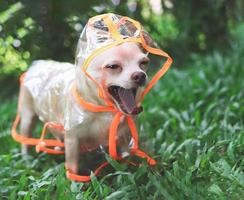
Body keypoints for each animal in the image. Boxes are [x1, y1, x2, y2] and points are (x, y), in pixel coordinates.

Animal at [19, 42, 149, 173]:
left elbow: (126, 157)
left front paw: (128, 169)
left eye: (144, 63)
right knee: (25, 139)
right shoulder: (72, 140)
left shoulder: (124, 135)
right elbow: (72, 168)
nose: (140, 75)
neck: (103, 110)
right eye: (113, 66)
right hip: (27, 118)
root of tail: (35, 66)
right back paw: (26, 159)